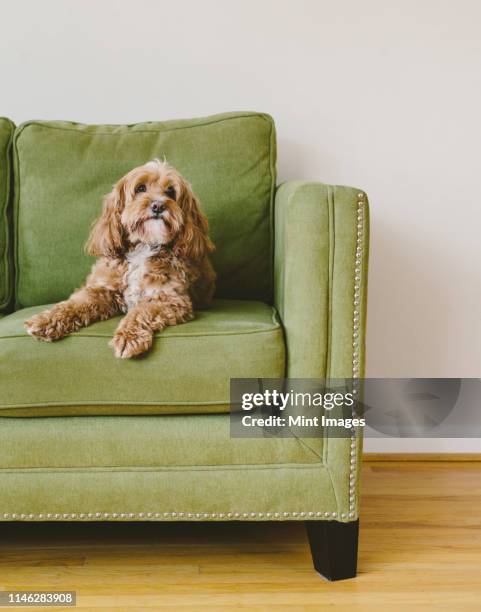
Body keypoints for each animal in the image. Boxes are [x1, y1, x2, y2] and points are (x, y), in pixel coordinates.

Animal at [24, 160, 216, 358]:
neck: (143, 246)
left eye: (170, 192)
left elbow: (139, 312)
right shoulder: (101, 289)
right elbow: (74, 304)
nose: (158, 205)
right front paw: (46, 320)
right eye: (140, 188)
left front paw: (128, 337)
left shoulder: (170, 299)